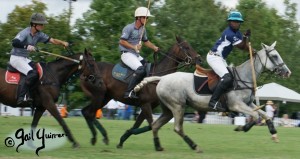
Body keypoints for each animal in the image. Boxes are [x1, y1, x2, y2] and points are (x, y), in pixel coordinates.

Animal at [135, 41, 292, 152]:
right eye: (274, 56)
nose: (287, 72)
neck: (244, 76)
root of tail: (162, 78)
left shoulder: (249, 104)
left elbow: (265, 115)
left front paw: (274, 133)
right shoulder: (236, 105)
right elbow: (255, 116)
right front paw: (241, 128)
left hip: (168, 109)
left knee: (155, 125)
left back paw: (158, 146)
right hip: (177, 106)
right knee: (177, 128)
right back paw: (195, 146)